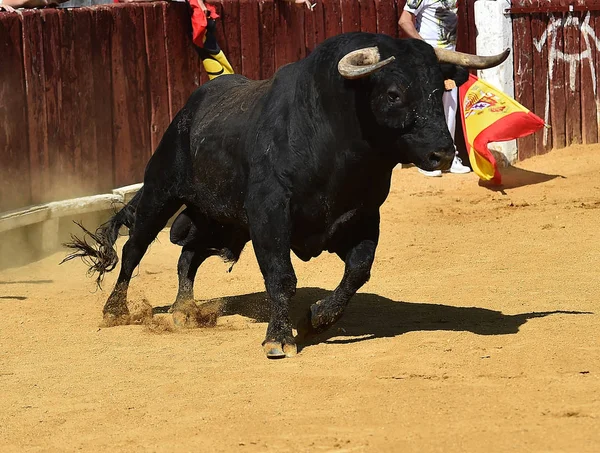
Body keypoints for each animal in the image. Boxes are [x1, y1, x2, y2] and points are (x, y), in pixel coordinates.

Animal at [64, 30, 506, 356]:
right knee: (134, 248)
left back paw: (185, 311)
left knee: (188, 256)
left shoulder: (363, 217)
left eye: (439, 89)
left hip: (222, 223)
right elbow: (281, 276)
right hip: (161, 192)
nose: (443, 152)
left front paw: (317, 318)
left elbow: (358, 270)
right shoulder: (269, 214)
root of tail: (188, 110)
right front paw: (279, 339)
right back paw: (116, 311)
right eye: (394, 93)